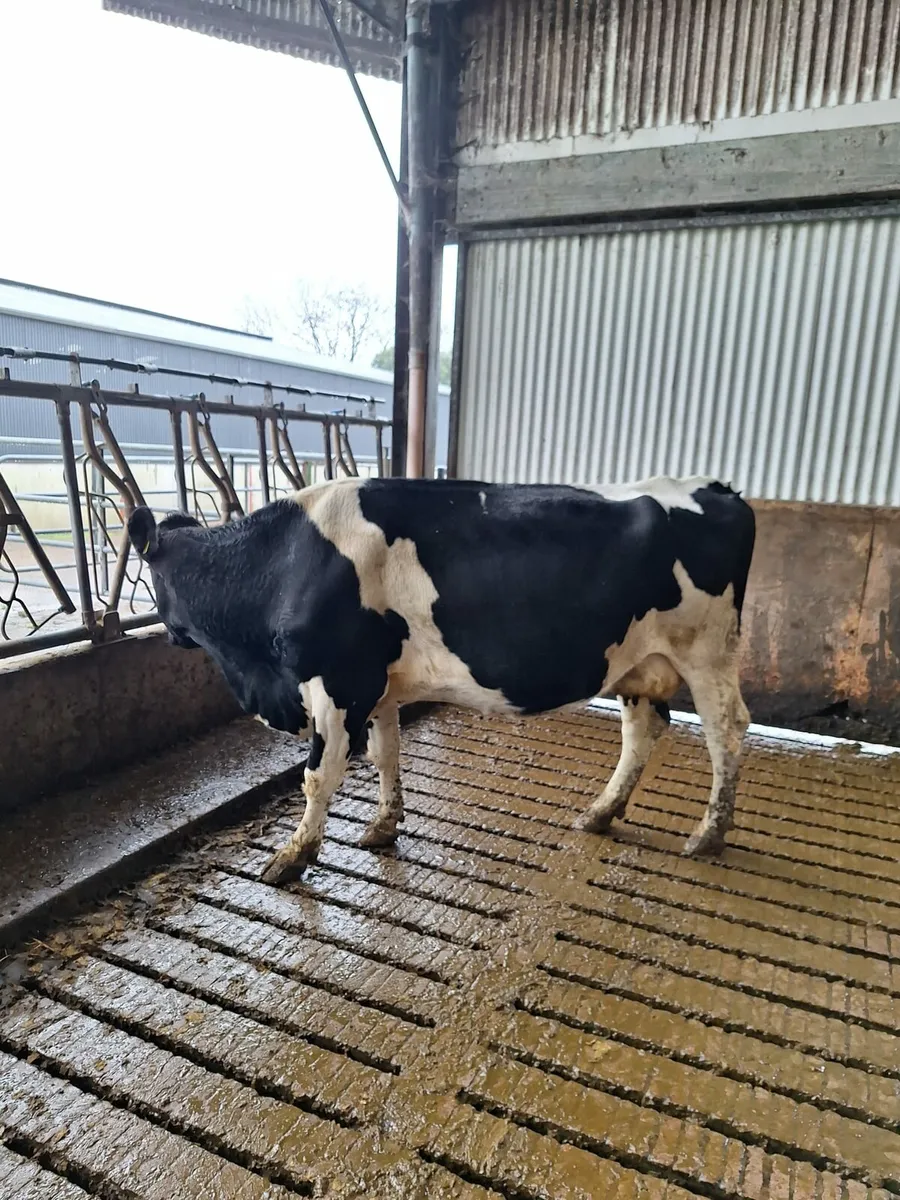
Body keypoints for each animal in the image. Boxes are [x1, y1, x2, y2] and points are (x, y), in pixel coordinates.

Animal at [128, 475, 755, 886]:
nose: (170, 635)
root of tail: (716, 487)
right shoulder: (378, 685)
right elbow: (385, 754)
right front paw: (383, 825)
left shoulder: (338, 682)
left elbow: (318, 777)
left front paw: (293, 856)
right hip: (637, 660)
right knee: (644, 729)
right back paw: (600, 813)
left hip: (709, 652)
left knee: (727, 731)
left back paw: (708, 834)